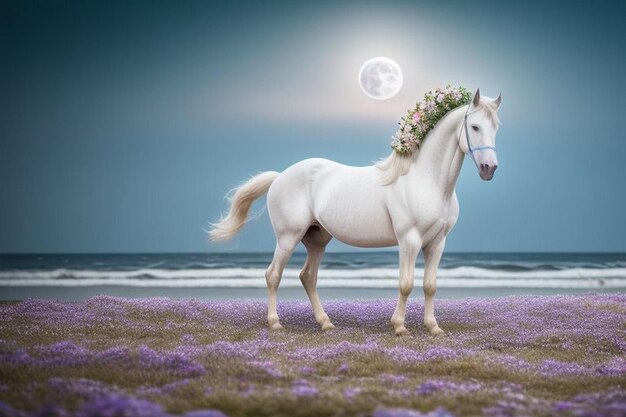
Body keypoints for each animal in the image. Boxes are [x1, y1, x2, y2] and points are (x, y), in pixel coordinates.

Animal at [212, 89, 500, 336]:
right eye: (475, 127)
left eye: (496, 127)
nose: (489, 169)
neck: (425, 180)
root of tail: (280, 176)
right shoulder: (409, 240)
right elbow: (406, 284)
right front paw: (399, 327)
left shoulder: (436, 243)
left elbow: (430, 286)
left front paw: (433, 327)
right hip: (288, 237)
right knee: (273, 275)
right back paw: (275, 323)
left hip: (316, 240)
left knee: (308, 277)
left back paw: (325, 323)